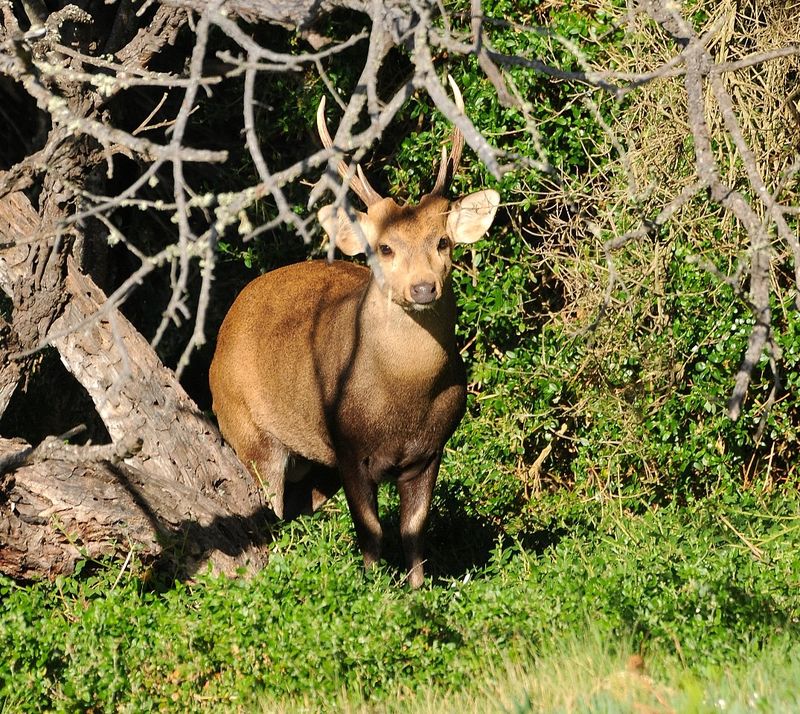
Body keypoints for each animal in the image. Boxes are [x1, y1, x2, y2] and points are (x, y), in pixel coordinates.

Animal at [209, 78, 499, 588]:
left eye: (442, 242)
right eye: (384, 248)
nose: (423, 287)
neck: (401, 400)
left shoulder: (431, 450)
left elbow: (414, 532)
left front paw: (417, 590)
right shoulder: (346, 446)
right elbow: (371, 533)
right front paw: (371, 589)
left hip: (310, 466)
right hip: (247, 428)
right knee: (268, 509)